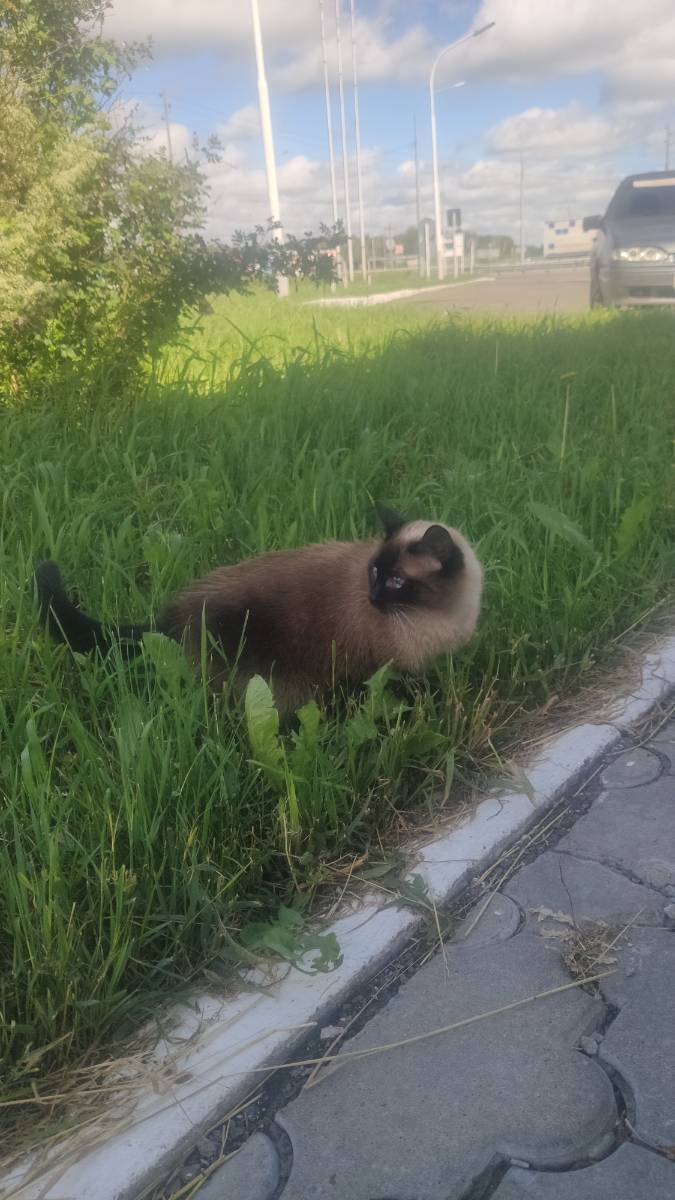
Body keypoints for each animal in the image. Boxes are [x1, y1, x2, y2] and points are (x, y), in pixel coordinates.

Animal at [34, 506, 483, 713]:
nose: (371, 598)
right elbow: (418, 694)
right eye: (375, 573)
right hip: (277, 683)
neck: (444, 617)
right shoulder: (394, 670)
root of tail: (171, 619)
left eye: (395, 583)